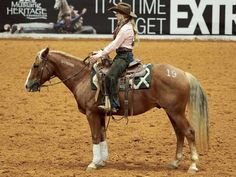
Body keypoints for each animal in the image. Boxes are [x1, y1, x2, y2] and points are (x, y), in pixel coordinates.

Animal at [25, 47, 208, 172]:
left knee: (189, 132)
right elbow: (102, 136)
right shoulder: (100, 114)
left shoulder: (91, 114)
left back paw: (193, 165)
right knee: (179, 133)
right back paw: (175, 162)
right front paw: (101, 161)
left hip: (176, 112)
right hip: (171, 111)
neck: (83, 78)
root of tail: (183, 74)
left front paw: (92, 163)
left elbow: (95, 136)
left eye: (36, 65)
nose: (27, 85)